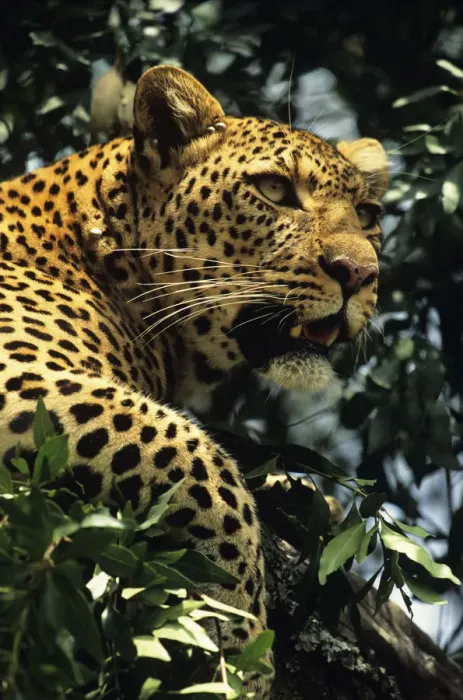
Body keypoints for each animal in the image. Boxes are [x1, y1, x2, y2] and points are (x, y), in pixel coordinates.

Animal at [0, 65, 388, 697]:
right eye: (274, 190)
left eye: (370, 217)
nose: (358, 273)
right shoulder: (21, 375)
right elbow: (191, 454)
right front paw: (239, 635)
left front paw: (298, 493)